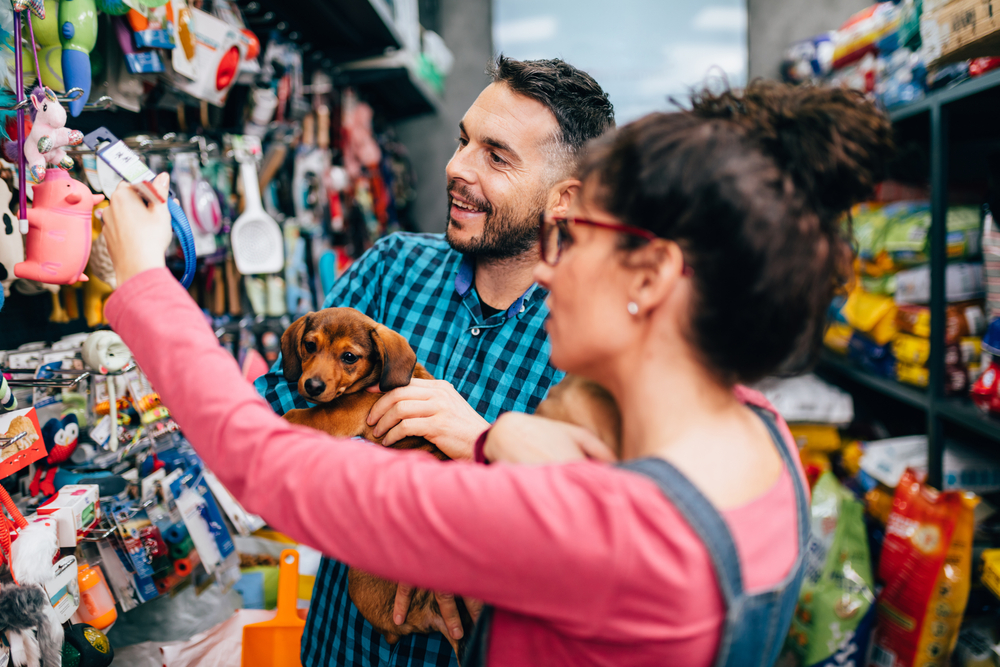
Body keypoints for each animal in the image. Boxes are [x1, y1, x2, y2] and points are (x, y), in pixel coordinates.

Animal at [278, 306, 472, 656]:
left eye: (349, 357)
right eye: (310, 346)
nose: (311, 386)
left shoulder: (336, 414)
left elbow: (300, 416)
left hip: (357, 580)